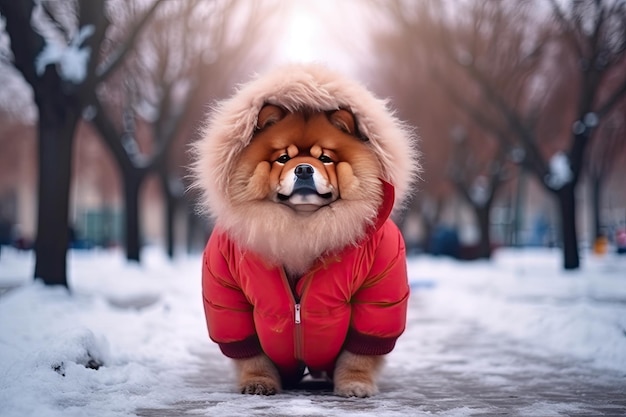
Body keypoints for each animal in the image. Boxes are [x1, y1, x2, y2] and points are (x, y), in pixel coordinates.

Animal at [191, 64, 420, 396]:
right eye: (283, 158)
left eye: (325, 158)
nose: (302, 168)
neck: (302, 227)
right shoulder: (227, 291)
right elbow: (251, 354)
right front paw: (258, 382)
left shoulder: (379, 287)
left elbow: (359, 354)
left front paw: (355, 384)